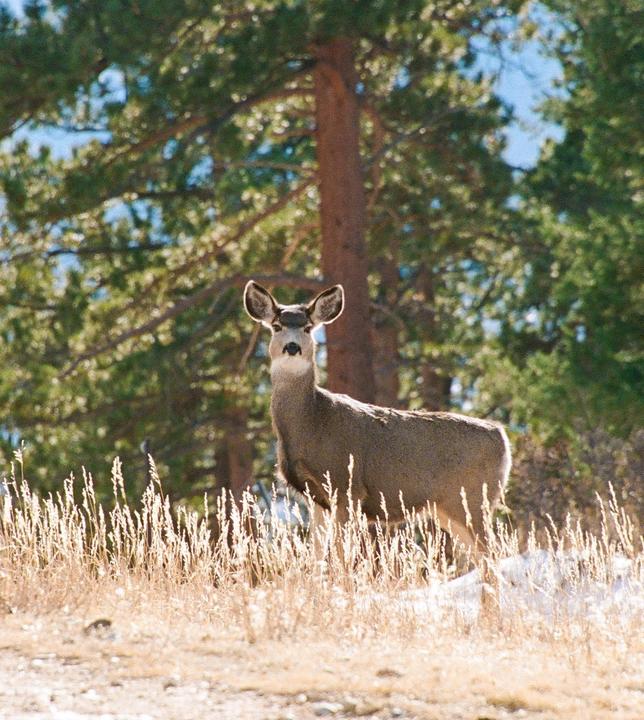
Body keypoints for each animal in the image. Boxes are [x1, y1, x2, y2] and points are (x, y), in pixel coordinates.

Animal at [243, 280, 512, 553]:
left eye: (308, 328)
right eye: (277, 326)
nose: (292, 347)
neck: (312, 422)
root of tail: (502, 438)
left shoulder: (346, 486)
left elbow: (342, 552)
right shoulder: (316, 497)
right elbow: (317, 551)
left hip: (472, 497)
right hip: (448, 508)